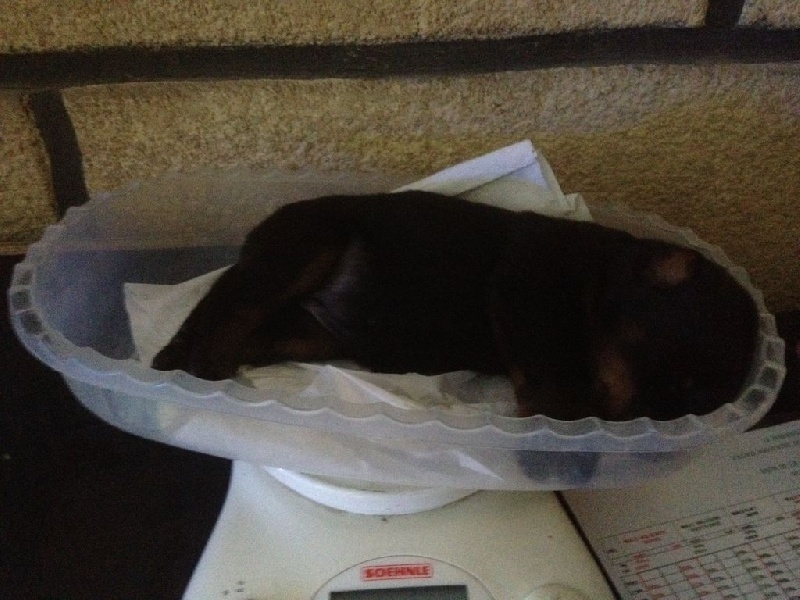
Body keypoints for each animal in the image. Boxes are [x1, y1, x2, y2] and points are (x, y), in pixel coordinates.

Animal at [152, 191, 759, 421]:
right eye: (667, 374)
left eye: (684, 406)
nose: (636, 424)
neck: (600, 276)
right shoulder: (524, 289)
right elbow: (554, 377)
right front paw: (556, 421)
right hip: (303, 245)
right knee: (228, 305)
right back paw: (200, 361)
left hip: (310, 330)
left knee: (253, 321)